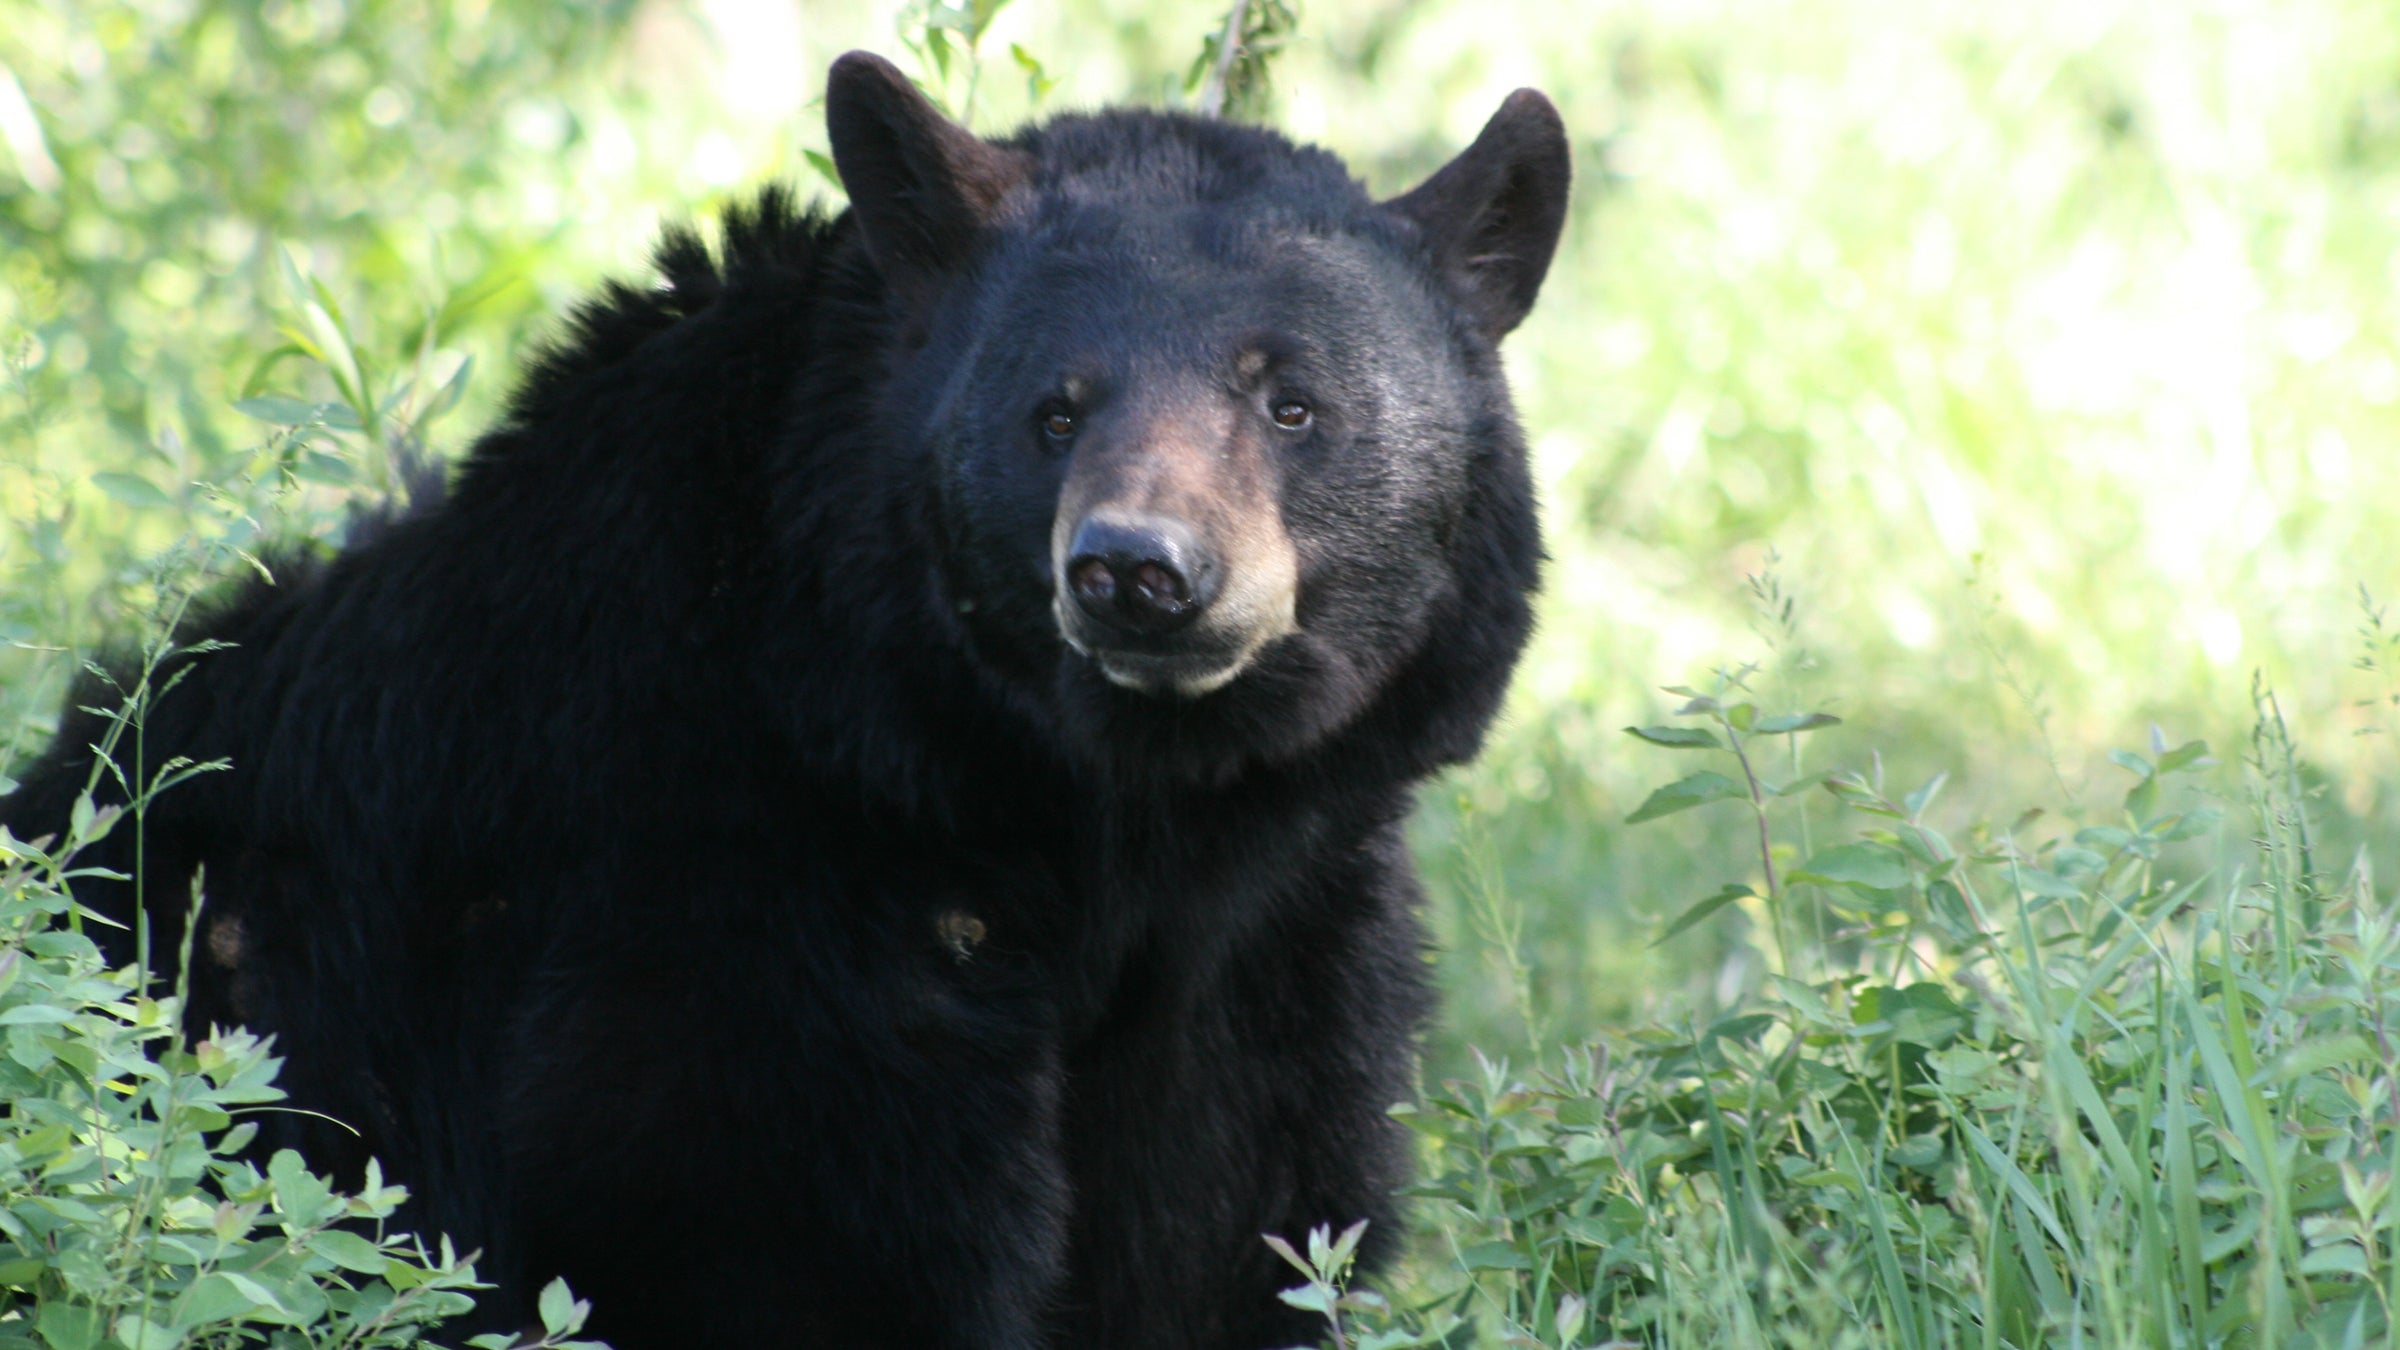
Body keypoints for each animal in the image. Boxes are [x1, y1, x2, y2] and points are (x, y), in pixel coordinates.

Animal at [0, 52, 1564, 1345]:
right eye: (1053, 409)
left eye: (1290, 402)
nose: (1139, 571)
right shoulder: (740, 895)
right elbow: (772, 1233)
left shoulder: (1262, 959)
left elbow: (1231, 1237)